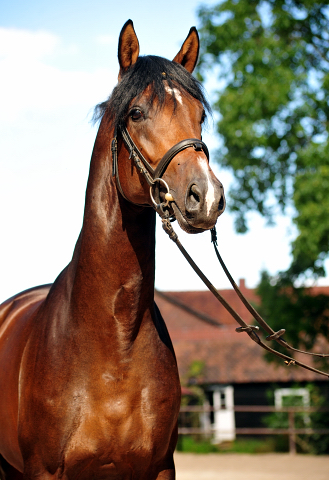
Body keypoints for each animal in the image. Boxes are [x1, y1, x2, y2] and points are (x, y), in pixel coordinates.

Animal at [0, 19, 223, 480]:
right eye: (136, 113)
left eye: (200, 115)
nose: (206, 196)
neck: (114, 344)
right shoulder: (44, 471)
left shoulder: (160, 468)